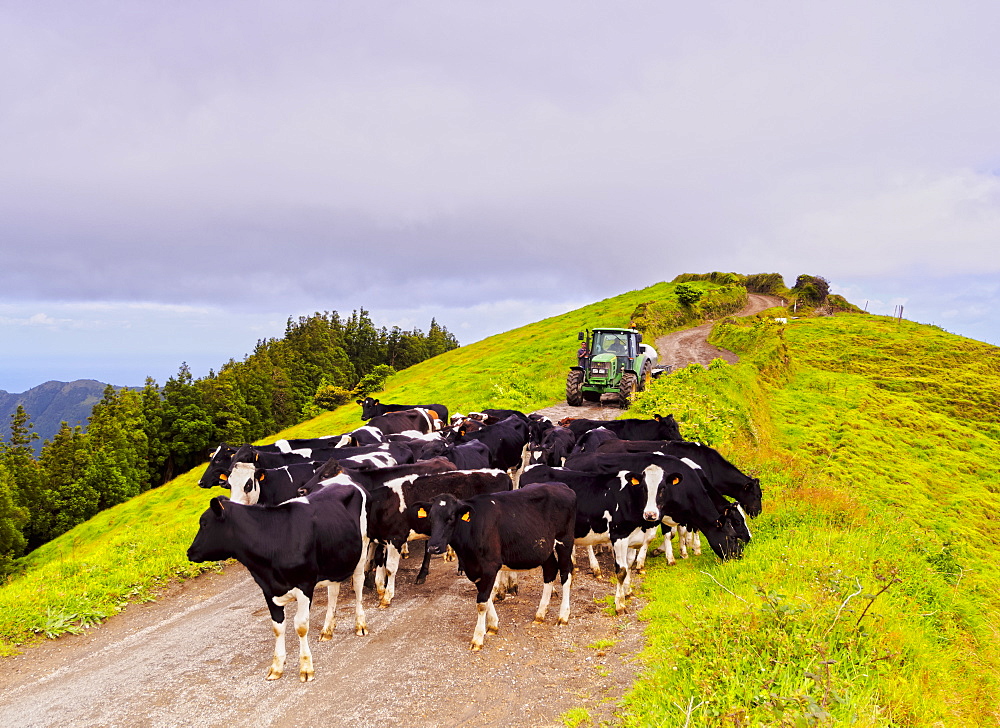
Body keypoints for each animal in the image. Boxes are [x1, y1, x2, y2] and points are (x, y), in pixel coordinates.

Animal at [186, 484, 370, 684]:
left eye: (204, 524)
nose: (189, 552)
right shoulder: (268, 589)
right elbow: (277, 627)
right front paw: (276, 667)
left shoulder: (304, 585)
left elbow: (301, 626)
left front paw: (306, 667)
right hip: (336, 559)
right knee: (333, 591)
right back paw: (327, 629)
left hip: (362, 550)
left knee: (358, 585)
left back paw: (360, 625)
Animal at [410, 484, 576, 648]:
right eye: (430, 518)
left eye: (450, 518)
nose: (433, 547)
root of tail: (562, 486)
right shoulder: (474, 568)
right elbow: (485, 596)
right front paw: (492, 625)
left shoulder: (490, 566)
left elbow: (482, 602)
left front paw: (477, 638)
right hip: (544, 549)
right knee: (550, 571)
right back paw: (540, 614)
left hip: (564, 541)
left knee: (566, 575)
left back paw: (563, 616)